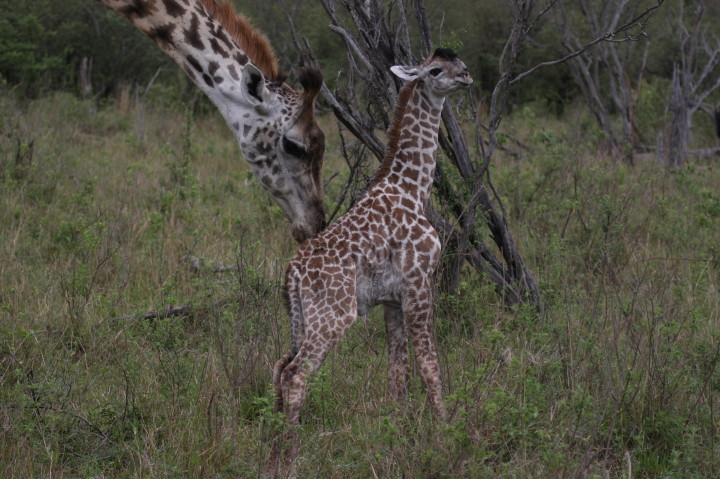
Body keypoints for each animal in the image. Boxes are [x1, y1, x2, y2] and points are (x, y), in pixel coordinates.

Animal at [268, 48, 472, 475]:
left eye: (457, 62)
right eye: (435, 70)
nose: (466, 76)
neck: (411, 188)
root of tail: (292, 273)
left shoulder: (392, 300)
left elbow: (398, 374)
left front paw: (398, 441)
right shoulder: (419, 283)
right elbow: (430, 366)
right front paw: (445, 437)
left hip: (301, 318)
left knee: (279, 366)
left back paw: (273, 456)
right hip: (334, 315)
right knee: (295, 375)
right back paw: (291, 461)